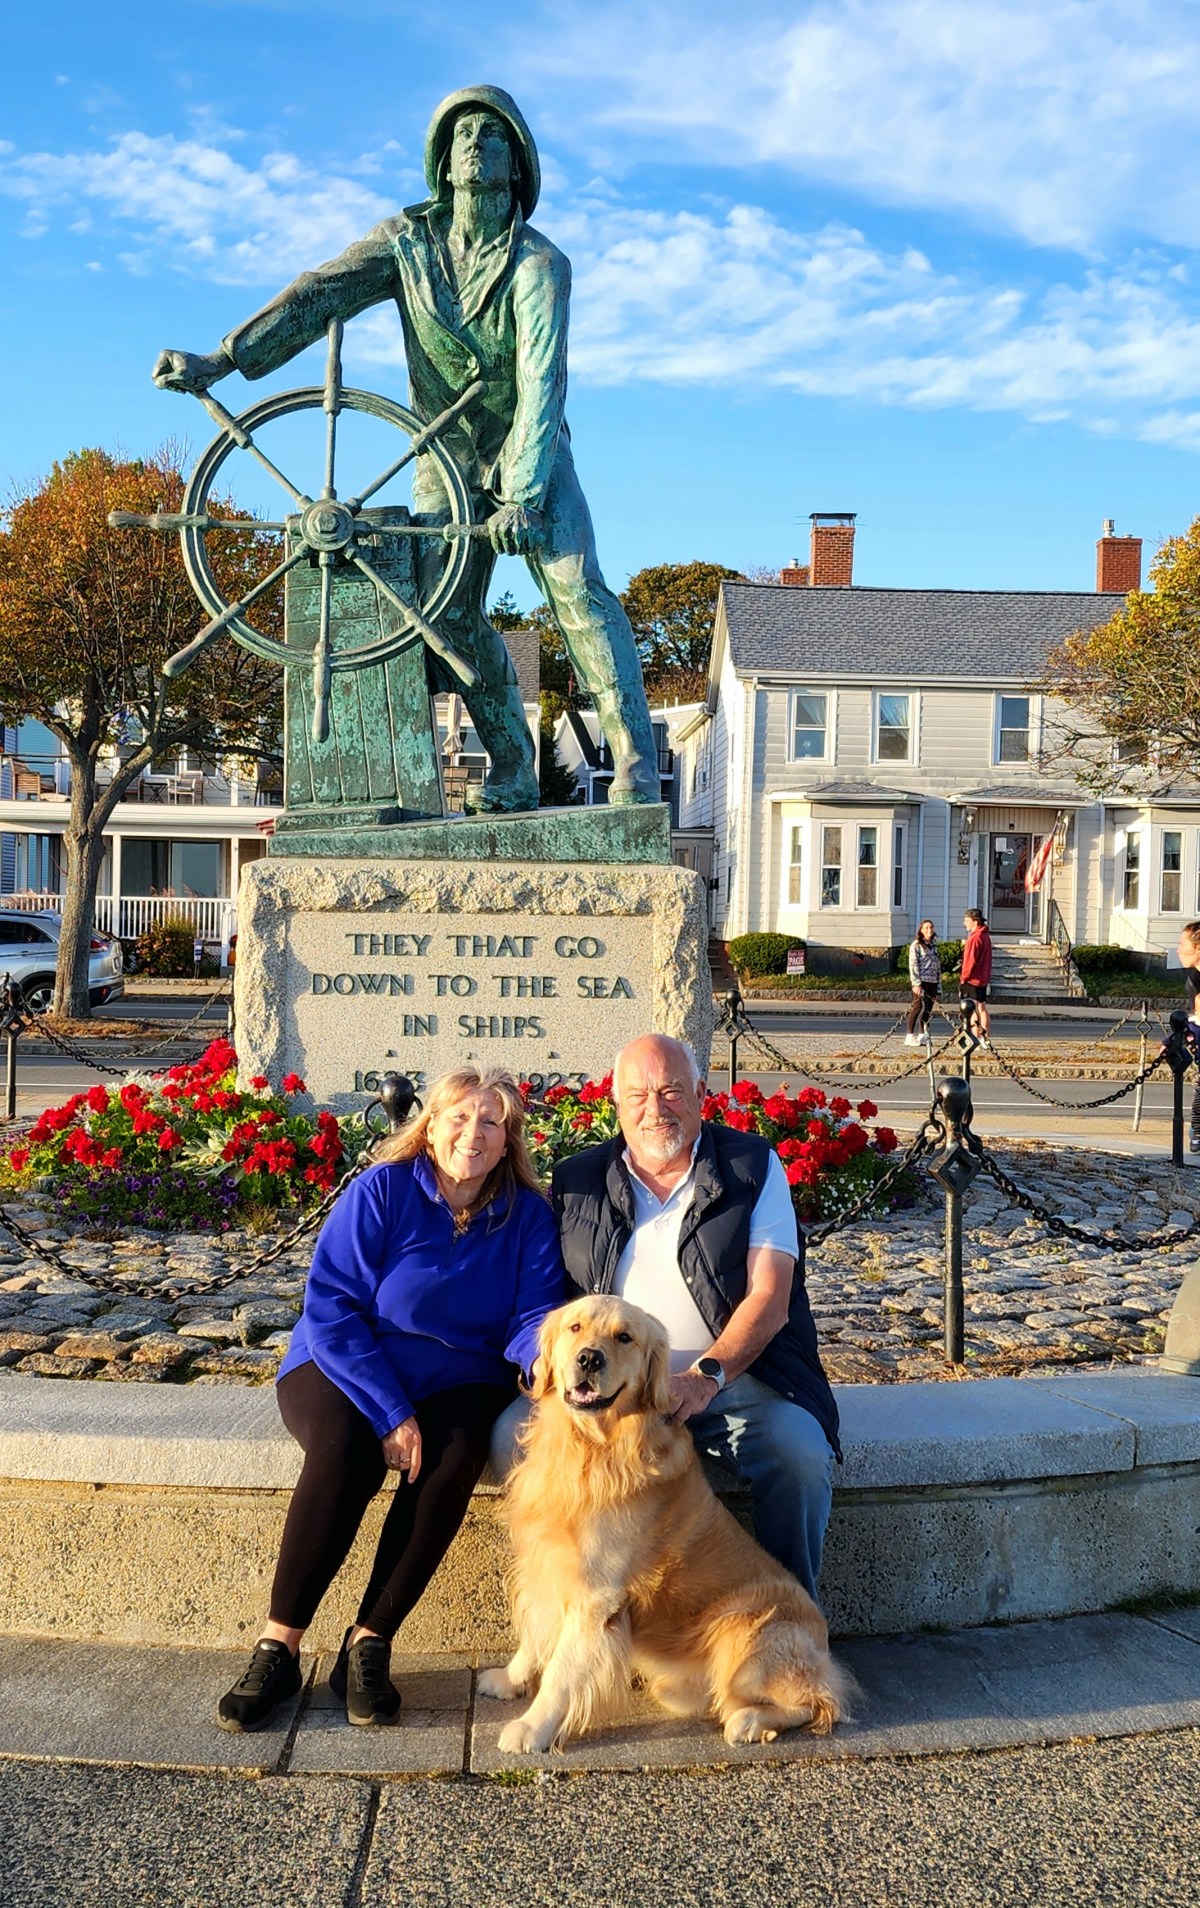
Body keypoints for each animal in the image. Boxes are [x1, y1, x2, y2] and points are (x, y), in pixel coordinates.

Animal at [478, 1293, 852, 1752]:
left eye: (625, 1337)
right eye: (574, 1327)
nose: (589, 1359)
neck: (589, 1447)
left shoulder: (596, 1595)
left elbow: (562, 1672)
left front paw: (532, 1727)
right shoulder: (544, 1561)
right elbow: (533, 1632)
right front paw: (510, 1679)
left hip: (746, 1640)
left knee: (823, 1701)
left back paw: (749, 1722)